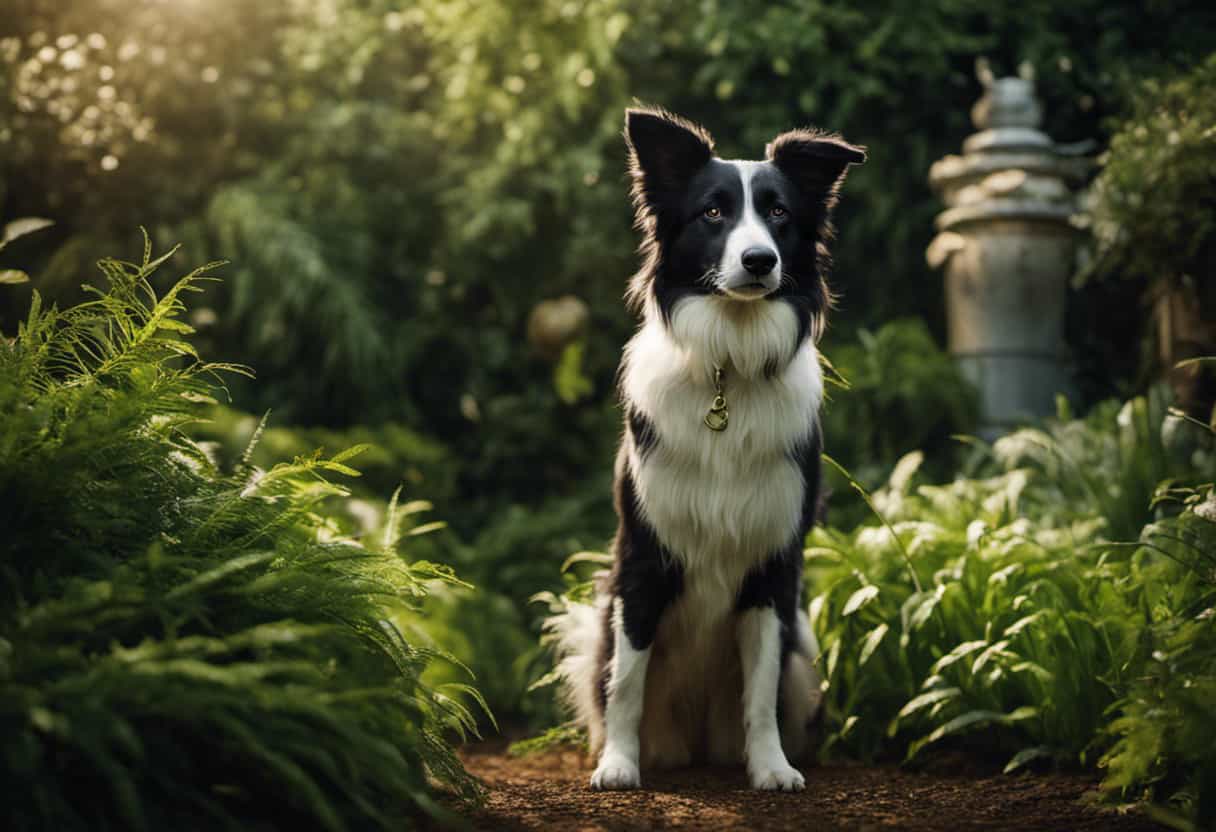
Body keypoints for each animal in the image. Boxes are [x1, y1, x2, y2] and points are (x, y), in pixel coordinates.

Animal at [552, 107, 865, 788]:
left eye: (779, 213)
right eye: (713, 212)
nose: (759, 260)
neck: (731, 361)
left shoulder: (775, 567)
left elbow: (761, 689)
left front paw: (771, 768)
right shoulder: (642, 555)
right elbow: (627, 681)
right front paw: (619, 765)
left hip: (804, 650)